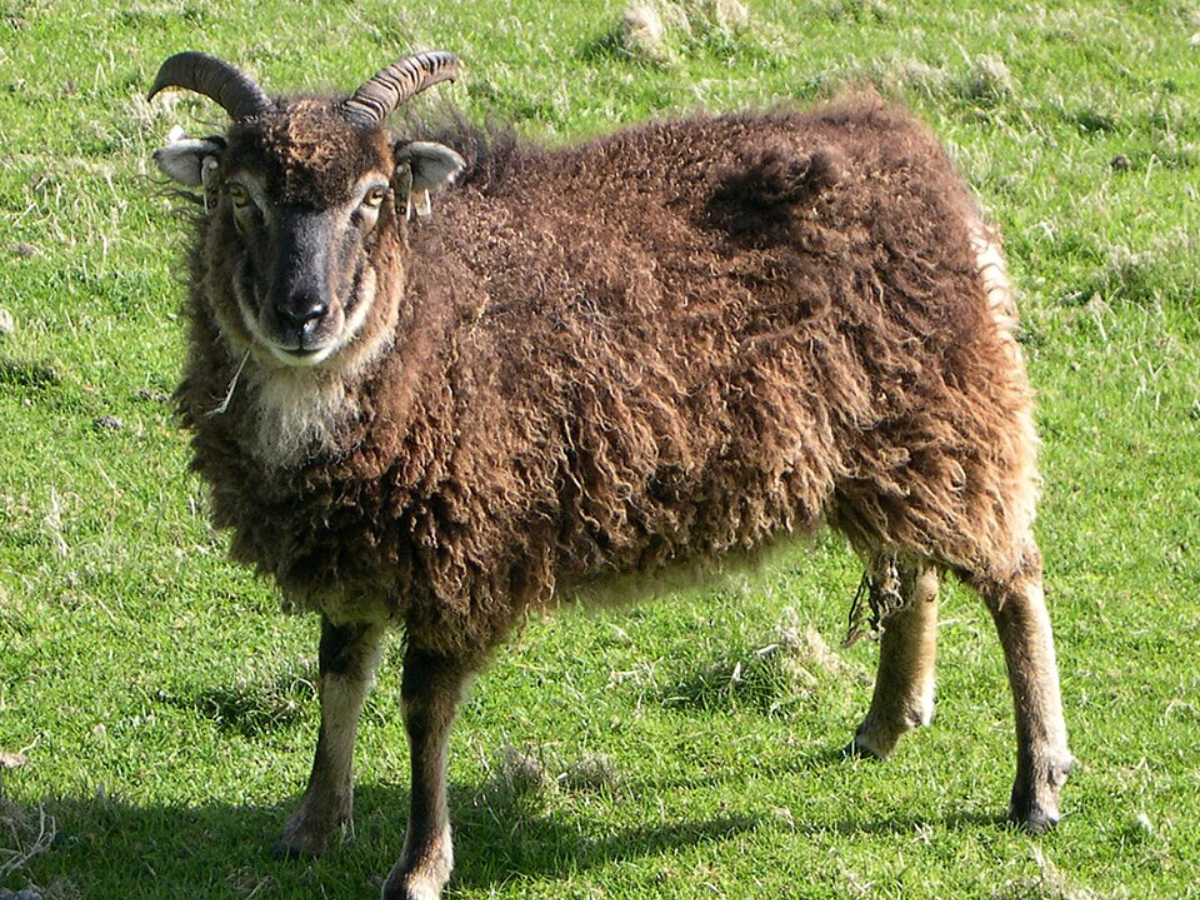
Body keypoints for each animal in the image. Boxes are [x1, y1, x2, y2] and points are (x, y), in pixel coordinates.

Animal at [147, 49, 1073, 900]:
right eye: (240, 195)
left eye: (373, 197)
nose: (302, 314)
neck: (424, 315)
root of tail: (913, 152)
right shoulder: (353, 539)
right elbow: (339, 675)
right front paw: (313, 823)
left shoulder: (462, 547)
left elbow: (422, 710)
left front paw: (419, 866)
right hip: (891, 444)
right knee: (915, 571)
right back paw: (885, 724)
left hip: (957, 410)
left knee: (1014, 580)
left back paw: (1038, 784)